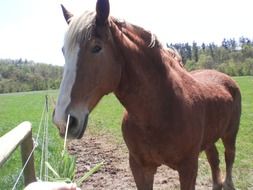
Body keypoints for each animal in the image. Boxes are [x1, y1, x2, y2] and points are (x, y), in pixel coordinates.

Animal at [52, 0, 241, 189]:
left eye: (96, 48)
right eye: (63, 51)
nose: (63, 121)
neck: (161, 109)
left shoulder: (188, 167)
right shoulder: (140, 167)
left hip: (230, 133)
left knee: (229, 155)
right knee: (214, 158)